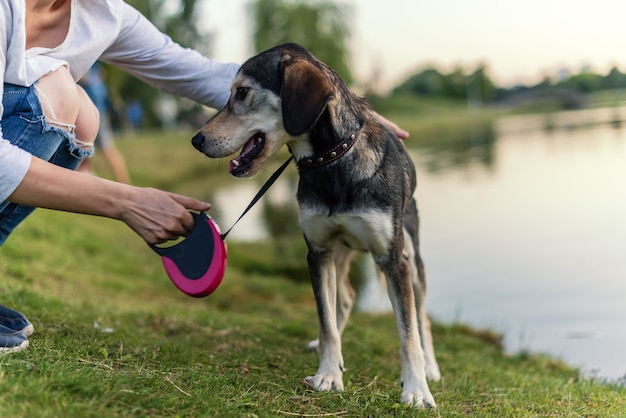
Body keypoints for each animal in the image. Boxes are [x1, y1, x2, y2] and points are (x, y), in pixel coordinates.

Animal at [190, 43, 438, 408]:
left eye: (243, 92)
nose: (197, 140)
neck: (332, 163)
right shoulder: (318, 252)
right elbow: (326, 322)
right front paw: (329, 374)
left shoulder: (393, 260)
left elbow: (408, 334)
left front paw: (416, 390)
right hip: (339, 254)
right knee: (345, 300)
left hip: (413, 259)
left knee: (423, 317)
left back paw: (432, 369)